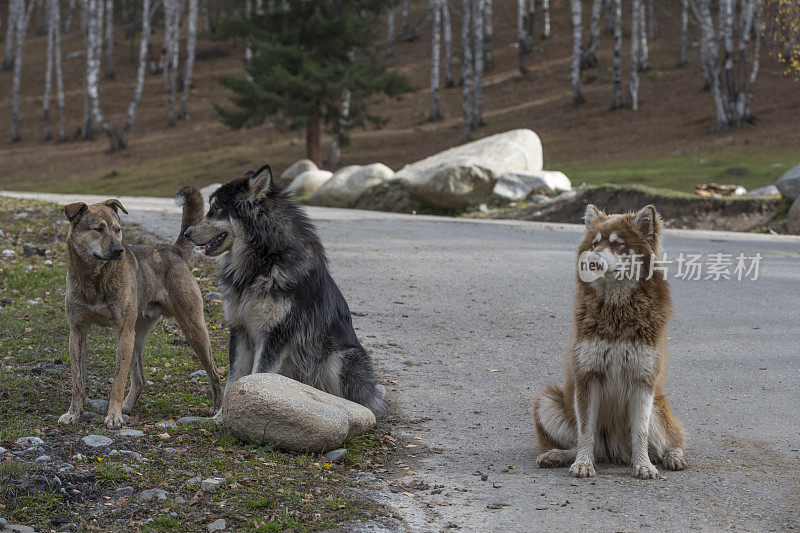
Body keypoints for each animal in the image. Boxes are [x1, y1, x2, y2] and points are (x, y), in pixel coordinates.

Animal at [59, 187, 222, 428]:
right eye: (98, 229)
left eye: (117, 230)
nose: (119, 250)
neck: (94, 277)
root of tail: (174, 250)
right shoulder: (77, 333)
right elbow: (77, 381)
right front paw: (74, 413)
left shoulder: (123, 333)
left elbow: (118, 381)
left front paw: (113, 416)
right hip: (137, 336)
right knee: (141, 379)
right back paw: (128, 406)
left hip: (193, 329)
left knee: (215, 372)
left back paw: (218, 409)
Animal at [186, 164, 390, 418]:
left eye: (215, 209)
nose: (186, 233)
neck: (262, 261)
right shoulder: (240, 330)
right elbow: (234, 378)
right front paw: (221, 417)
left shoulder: (275, 334)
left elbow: (257, 375)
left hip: (340, 358)